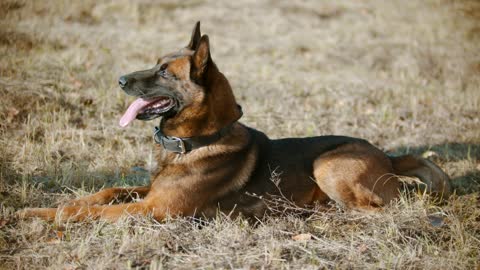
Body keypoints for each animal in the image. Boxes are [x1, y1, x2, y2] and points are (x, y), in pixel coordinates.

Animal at [16, 22, 452, 221]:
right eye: (154, 64)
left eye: (163, 72)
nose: (120, 79)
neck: (198, 141)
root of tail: (389, 156)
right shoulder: (149, 193)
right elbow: (105, 193)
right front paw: (46, 207)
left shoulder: (154, 209)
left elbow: (88, 212)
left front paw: (41, 216)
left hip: (328, 163)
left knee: (380, 209)